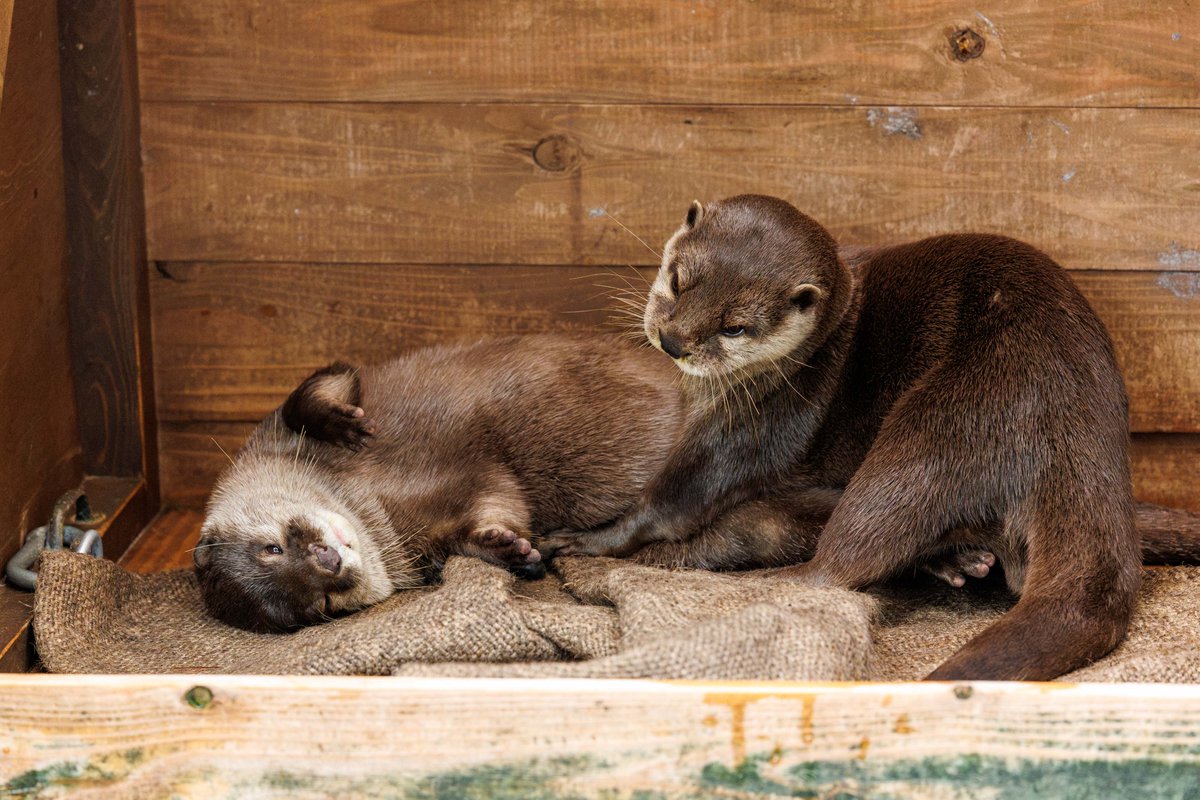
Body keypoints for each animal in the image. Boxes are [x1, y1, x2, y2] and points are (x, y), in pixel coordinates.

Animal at [192, 334, 682, 632]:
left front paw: (340, 424)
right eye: (321, 605)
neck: (371, 499)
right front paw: (510, 550)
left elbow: (316, 387)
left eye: (272, 548)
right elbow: (491, 511)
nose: (328, 562)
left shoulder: (274, 428)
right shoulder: (439, 529)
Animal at [543, 194, 1200, 681]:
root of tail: (1071, 430)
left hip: (943, 425)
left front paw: (591, 540)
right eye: (679, 279)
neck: (815, 346)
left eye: (735, 327)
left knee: (838, 563)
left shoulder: (756, 424)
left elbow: (673, 501)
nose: (674, 341)